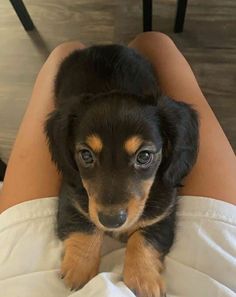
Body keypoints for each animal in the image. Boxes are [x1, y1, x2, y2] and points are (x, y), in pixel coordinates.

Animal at [44, 44, 199, 296]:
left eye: (144, 156)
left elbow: (145, 237)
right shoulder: (71, 194)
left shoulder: (165, 211)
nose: (111, 220)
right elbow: (85, 225)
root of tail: (102, 46)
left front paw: (143, 277)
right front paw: (79, 268)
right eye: (86, 155)